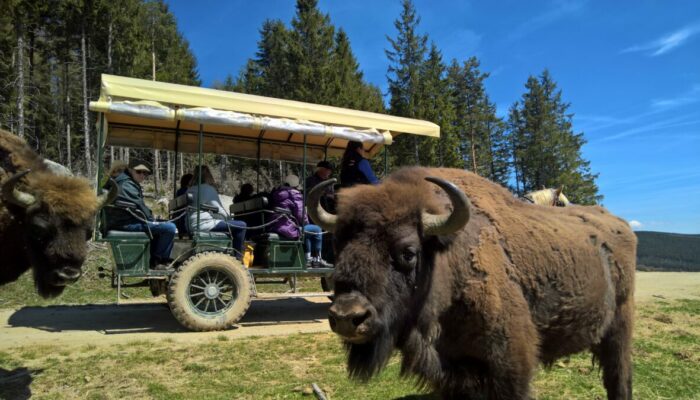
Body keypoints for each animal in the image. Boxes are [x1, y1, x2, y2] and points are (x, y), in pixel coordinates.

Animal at [308, 168, 636, 400]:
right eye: (338, 245)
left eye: (408, 252)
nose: (347, 317)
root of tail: (620, 226)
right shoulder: (450, 372)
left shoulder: (511, 366)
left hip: (619, 328)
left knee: (619, 379)